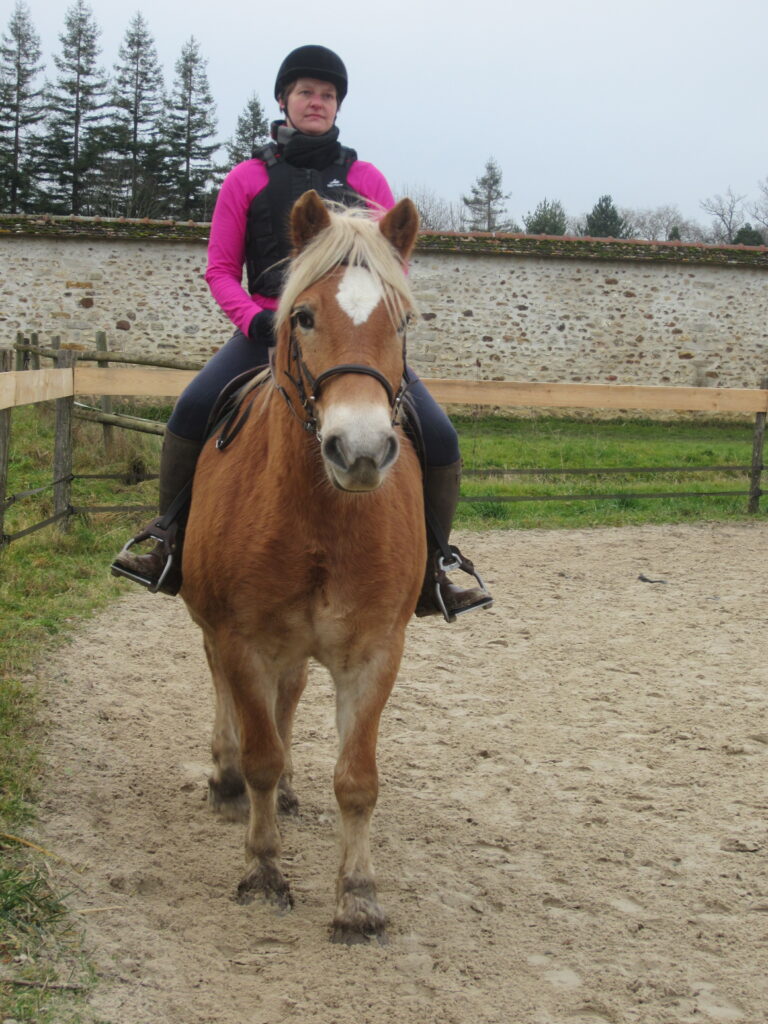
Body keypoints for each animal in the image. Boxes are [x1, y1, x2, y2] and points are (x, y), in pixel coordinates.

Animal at [184, 190, 430, 942]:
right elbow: (259, 752)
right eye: (303, 315)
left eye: (401, 319)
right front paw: (263, 871)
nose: (360, 449)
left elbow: (357, 779)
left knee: (287, 700)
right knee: (230, 698)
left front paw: (358, 897)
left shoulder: (375, 651)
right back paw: (226, 779)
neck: (324, 518)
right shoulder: (240, 638)